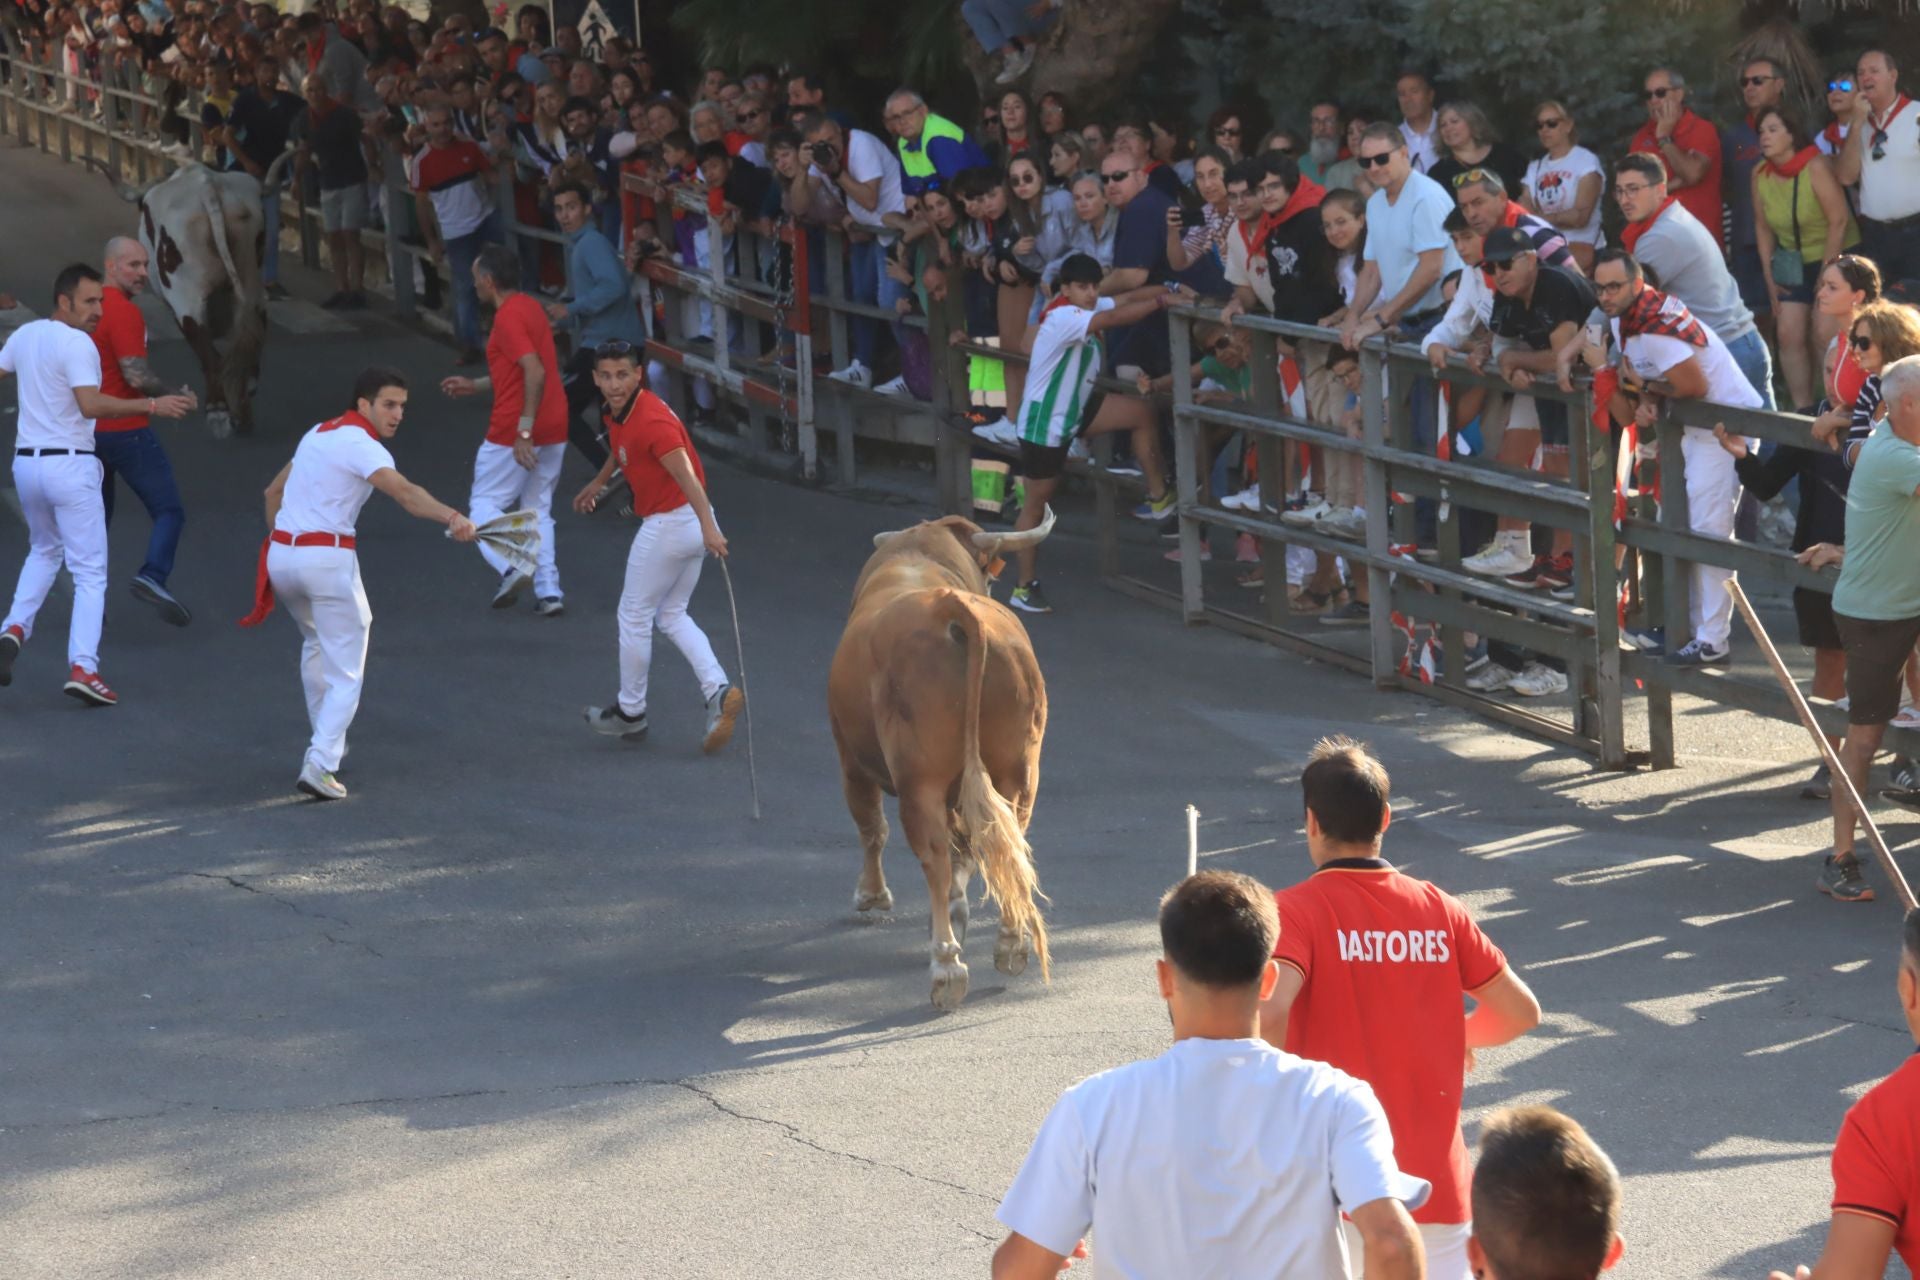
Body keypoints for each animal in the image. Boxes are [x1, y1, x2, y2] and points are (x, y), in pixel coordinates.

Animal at [87, 157, 288, 437]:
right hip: (251, 283)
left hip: (185, 295)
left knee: (206, 349)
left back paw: (217, 410)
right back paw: (244, 403)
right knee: (251, 334)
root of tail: (207, 186)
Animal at [829, 506, 1067, 1005]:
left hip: (920, 780)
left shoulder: (850, 760)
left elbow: (871, 829)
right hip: (1019, 769)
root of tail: (949, 607)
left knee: (934, 856)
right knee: (1006, 837)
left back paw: (946, 965)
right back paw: (1010, 942)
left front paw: (871, 895)